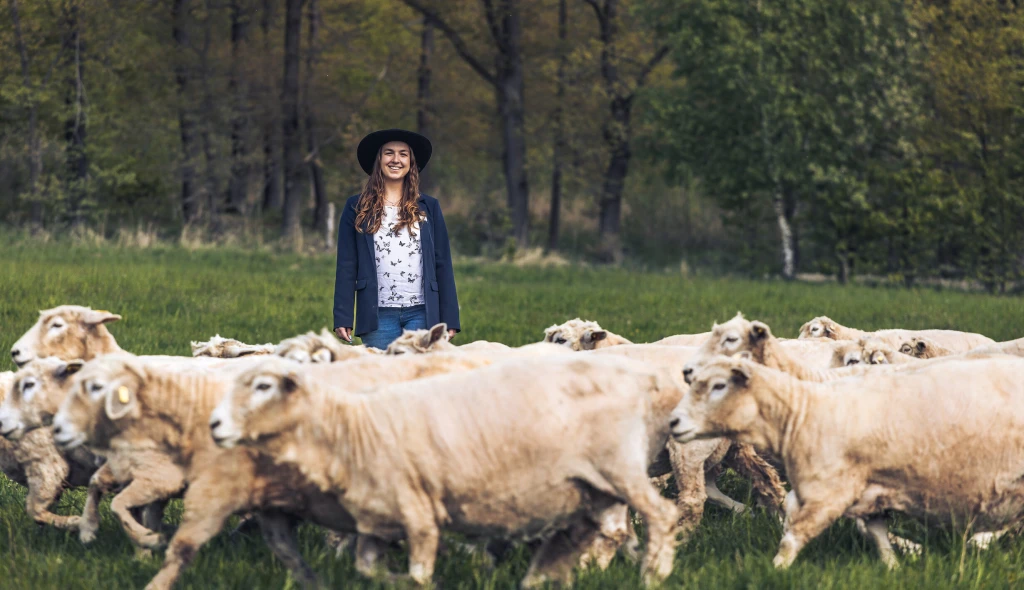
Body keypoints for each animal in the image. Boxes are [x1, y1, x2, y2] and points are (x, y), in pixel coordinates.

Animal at [208, 352, 684, 585]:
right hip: (594, 486)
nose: (214, 425)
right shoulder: (379, 521)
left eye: (263, 386)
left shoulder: (417, 513)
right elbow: (368, 568)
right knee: (606, 532)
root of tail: (637, 381)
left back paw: (653, 575)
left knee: (663, 515)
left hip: (620, 468)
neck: (352, 428)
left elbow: (420, 571)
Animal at [671, 352, 1024, 569]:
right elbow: (878, 535)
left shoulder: (827, 492)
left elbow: (791, 539)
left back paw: (980, 542)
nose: (673, 421)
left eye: (719, 385)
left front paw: (775, 570)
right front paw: (895, 565)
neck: (802, 411)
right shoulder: (870, 491)